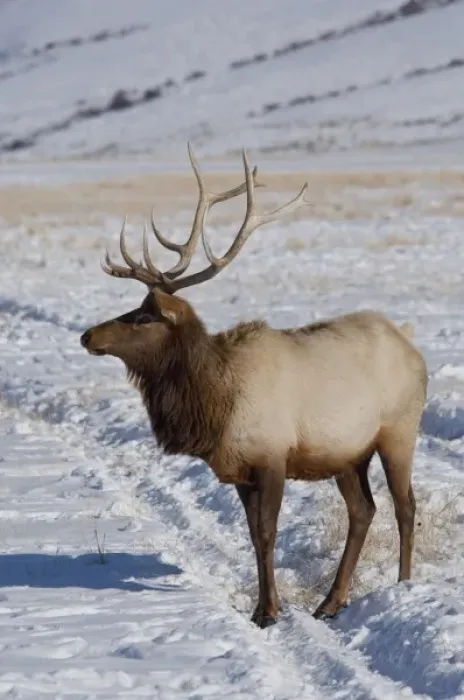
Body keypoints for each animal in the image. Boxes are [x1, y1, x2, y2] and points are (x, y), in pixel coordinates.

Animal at [81, 144, 428, 629]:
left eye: (145, 316)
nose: (87, 335)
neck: (214, 404)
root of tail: (410, 341)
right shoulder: (240, 469)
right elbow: (251, 534)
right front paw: (264, 605)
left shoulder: (272, 457)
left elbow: (266, 532)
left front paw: (268, 611)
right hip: (347, 452)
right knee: (363, 510)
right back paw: (331, 601)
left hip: (399, 431)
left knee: (405, 506)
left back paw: (402, 584)